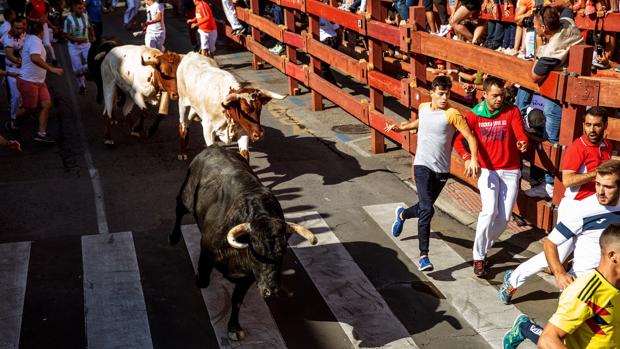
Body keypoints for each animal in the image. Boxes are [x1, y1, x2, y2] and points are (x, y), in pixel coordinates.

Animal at [168, 145, 318, 340]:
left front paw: (234, 328)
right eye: (256, 251)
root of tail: (213, 147)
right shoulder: (207, 250)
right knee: (179, 207)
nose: (271, 290)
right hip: (187, 196)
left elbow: (237, 300)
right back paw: (174, 237)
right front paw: (200, 276)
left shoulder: (248, 277)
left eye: (283, 251)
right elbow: (203, 280)